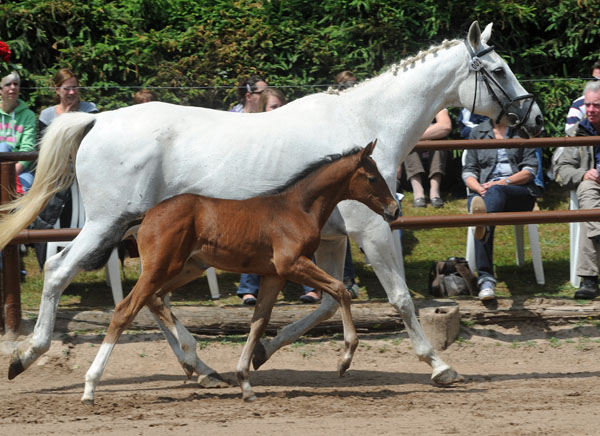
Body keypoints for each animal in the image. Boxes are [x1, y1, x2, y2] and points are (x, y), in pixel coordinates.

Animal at [81, 141, 398, 404]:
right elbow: (341, 290)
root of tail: (147, 214)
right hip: (163, 266)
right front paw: (344, 360)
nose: (394, 209)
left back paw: (190, 359)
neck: (298, 208)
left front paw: (246, 381)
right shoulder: (293, 264)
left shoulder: (274, 274)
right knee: (126, 308)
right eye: (372, 177)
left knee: (155, 299)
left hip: (186, 267)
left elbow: (259, 321)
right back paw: (90, 387)